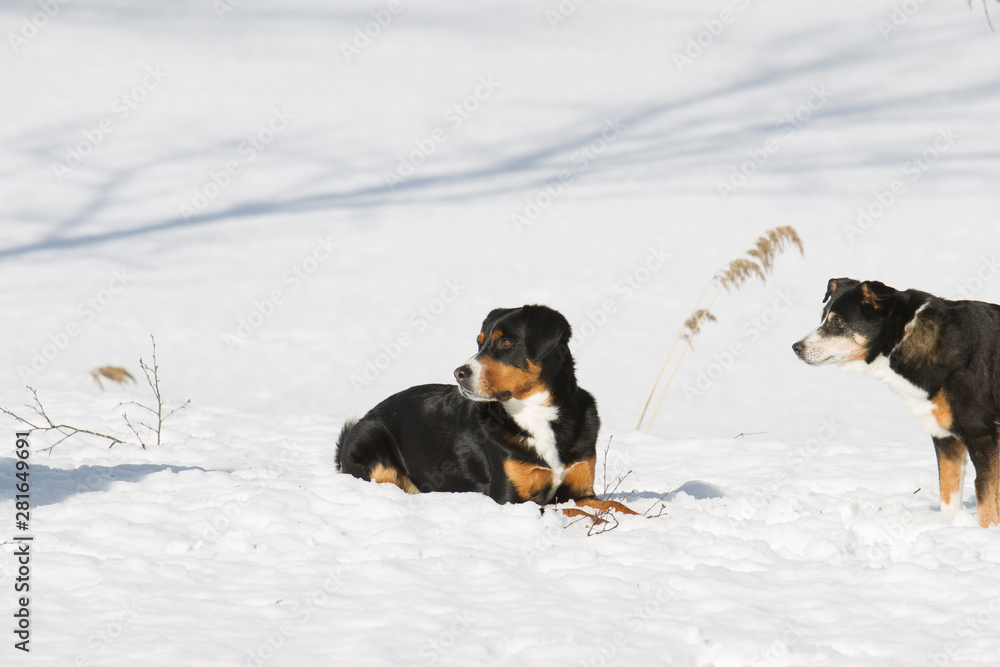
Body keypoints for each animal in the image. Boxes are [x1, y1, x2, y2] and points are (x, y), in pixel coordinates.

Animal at [336, 306, 632, 520]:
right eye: (480, 343)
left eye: (506, 342)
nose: (459, 373)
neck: (538, 414)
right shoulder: (512, 500)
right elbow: (573, 511)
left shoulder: (582, 490)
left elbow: (614, 505)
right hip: (372, 435)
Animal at [792, 278, 1000, 528]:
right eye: (822, 316)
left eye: (838, 321)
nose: (796, 347)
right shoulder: (944, 436)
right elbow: (948, 498)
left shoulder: (982, 435)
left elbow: (986, 499)